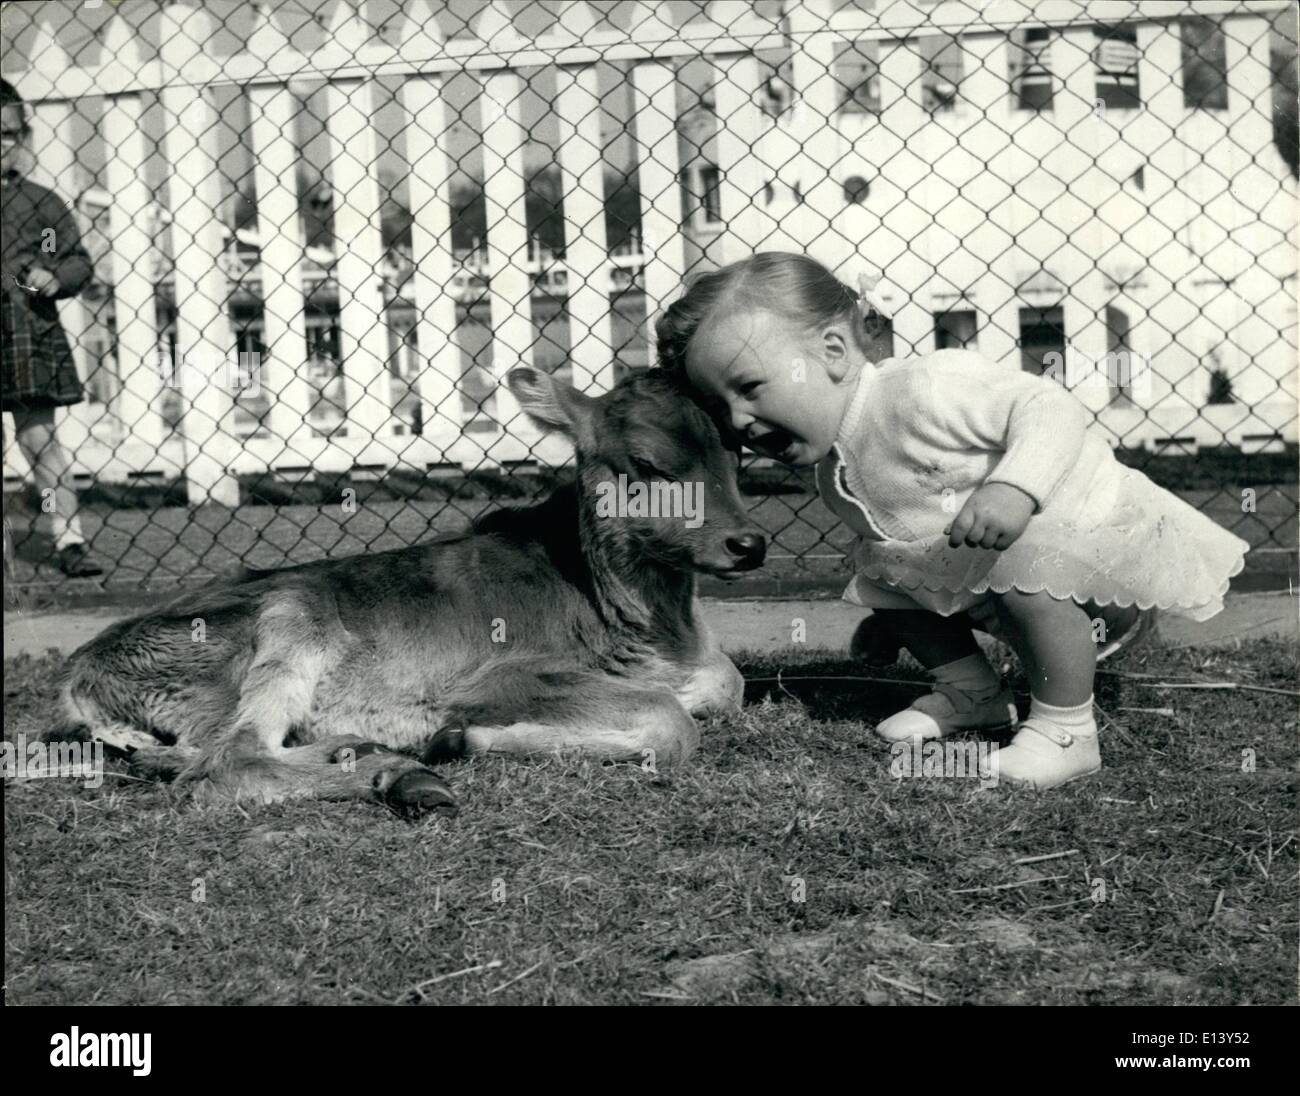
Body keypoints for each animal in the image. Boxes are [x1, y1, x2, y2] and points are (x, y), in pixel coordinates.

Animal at [50, 369, 759, 816]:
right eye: (647, 465)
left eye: (734, 453)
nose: (749, 543)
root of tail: (81, 670)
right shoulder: (498, 674)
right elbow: (671, 722)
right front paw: (460, 738)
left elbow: (729, 681)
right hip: (293, 616)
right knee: (233, 760)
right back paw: (402, 771)